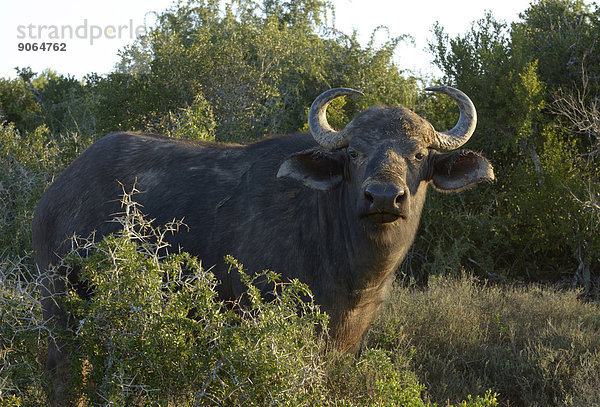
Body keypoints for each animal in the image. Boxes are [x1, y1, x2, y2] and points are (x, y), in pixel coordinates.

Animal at [31, 87, 492, 404]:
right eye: (355, 154)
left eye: (418, 154)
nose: (383, 197)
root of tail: (55, 193)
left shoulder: (348, 337)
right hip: (58, 298)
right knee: (64, 369)